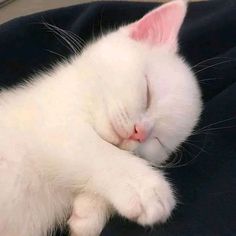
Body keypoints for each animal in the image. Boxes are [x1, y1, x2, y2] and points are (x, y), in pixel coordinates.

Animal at [0, 0, 201, 236]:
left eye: (159, 141)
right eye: (147, 94)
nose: (140, 133)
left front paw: (89, 212)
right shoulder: (53, 124)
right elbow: (98, 151)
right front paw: (145, 187)